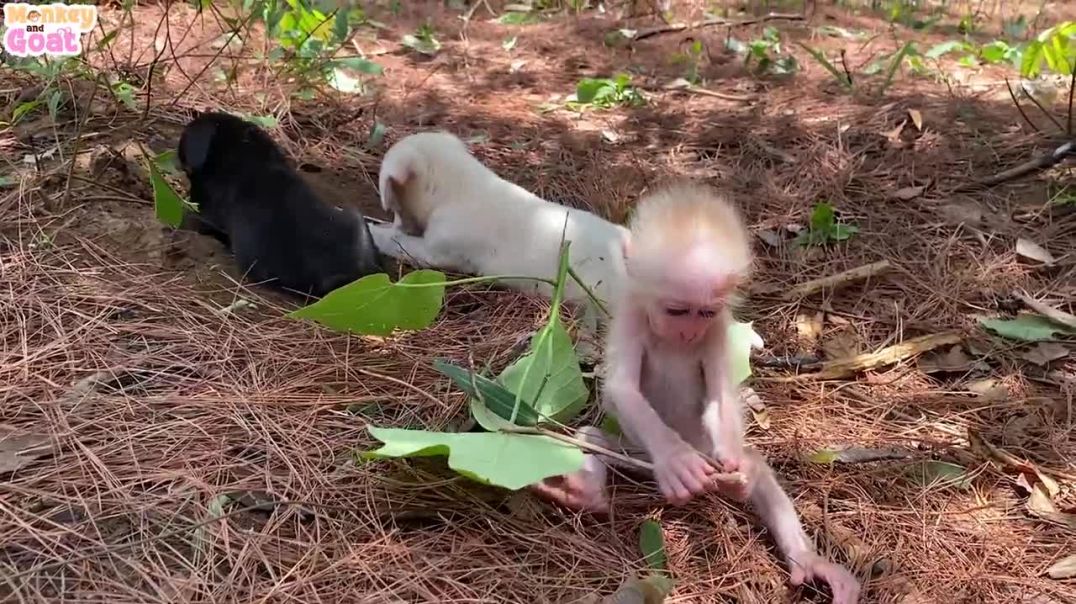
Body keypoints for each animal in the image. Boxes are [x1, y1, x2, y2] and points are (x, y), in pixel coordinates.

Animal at [531, 183, 861, 604]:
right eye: (676, 310)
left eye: (703, 313)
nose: (688, 332)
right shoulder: (632, 311)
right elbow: (622, 388)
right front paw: (674, 459)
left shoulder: (718, 326)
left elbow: (721, 397)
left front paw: (736, 466)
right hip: (637, 456)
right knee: (592, 438)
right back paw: (585, 493)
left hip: (699, 452)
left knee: (757, 467)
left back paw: (807, 558)